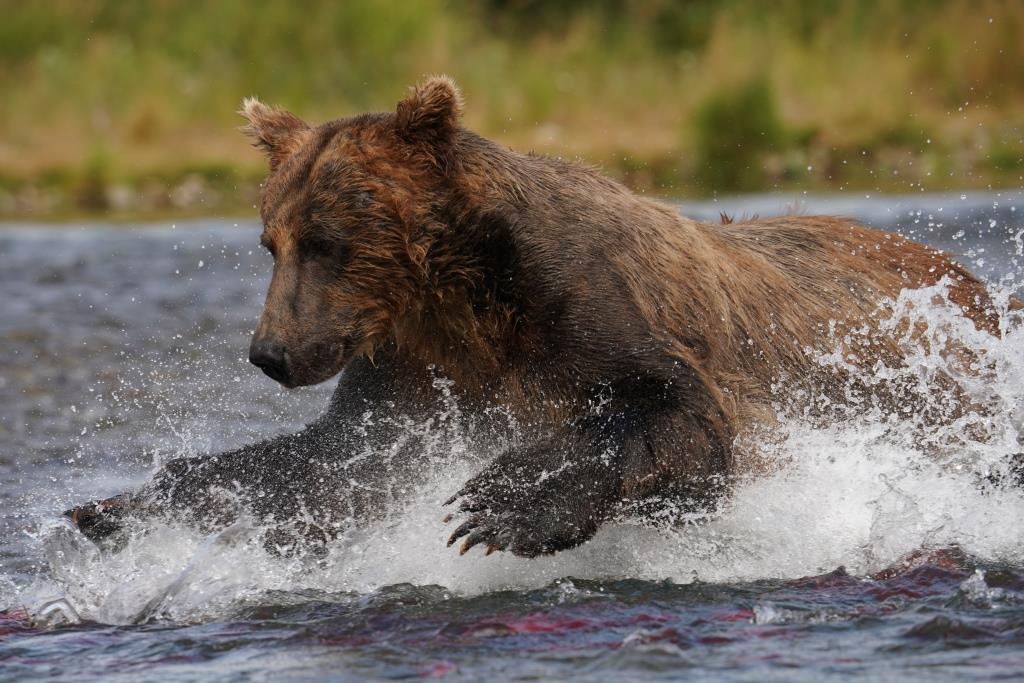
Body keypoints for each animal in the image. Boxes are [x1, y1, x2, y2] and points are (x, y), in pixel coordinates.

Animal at [68, 76, 1011, 557]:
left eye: (329, 239)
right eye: (271, 240)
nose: (272, 351)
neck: (463, 300)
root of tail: (965, 278)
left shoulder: (595, 309)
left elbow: (681, 417)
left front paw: (498, 504)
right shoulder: (411, 371)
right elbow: (329, 466)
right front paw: (110, 509)